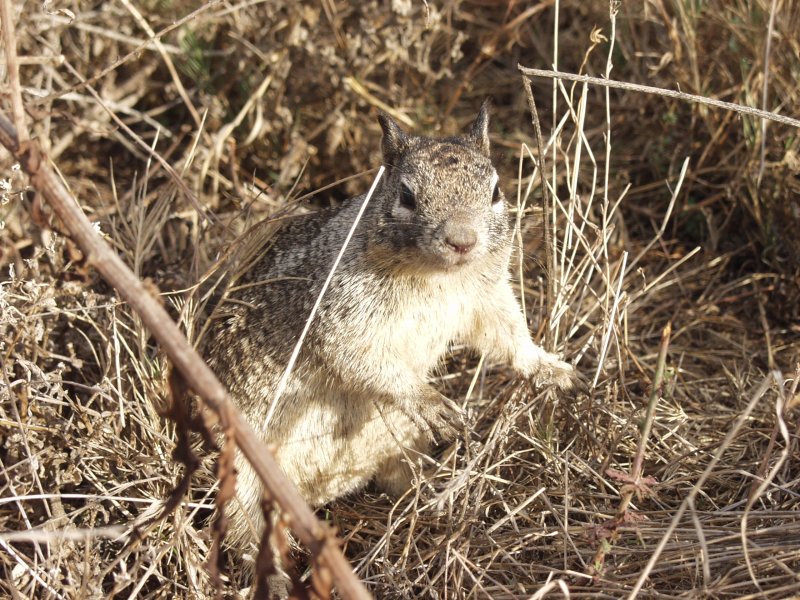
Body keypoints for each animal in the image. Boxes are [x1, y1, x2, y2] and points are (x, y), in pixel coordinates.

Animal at [200, 103, 576, 556]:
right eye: (406, 196)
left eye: (496, 191)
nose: (462, 240)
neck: (437, 279)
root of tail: (316, 494)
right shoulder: (341, 319)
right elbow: (365, 361)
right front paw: (428, 401)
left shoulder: (486, 300)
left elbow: (508, 335)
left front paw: (548, 367)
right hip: (240, 476)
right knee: (247, 535)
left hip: (403, 443)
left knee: (398, 477)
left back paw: (431, 493)